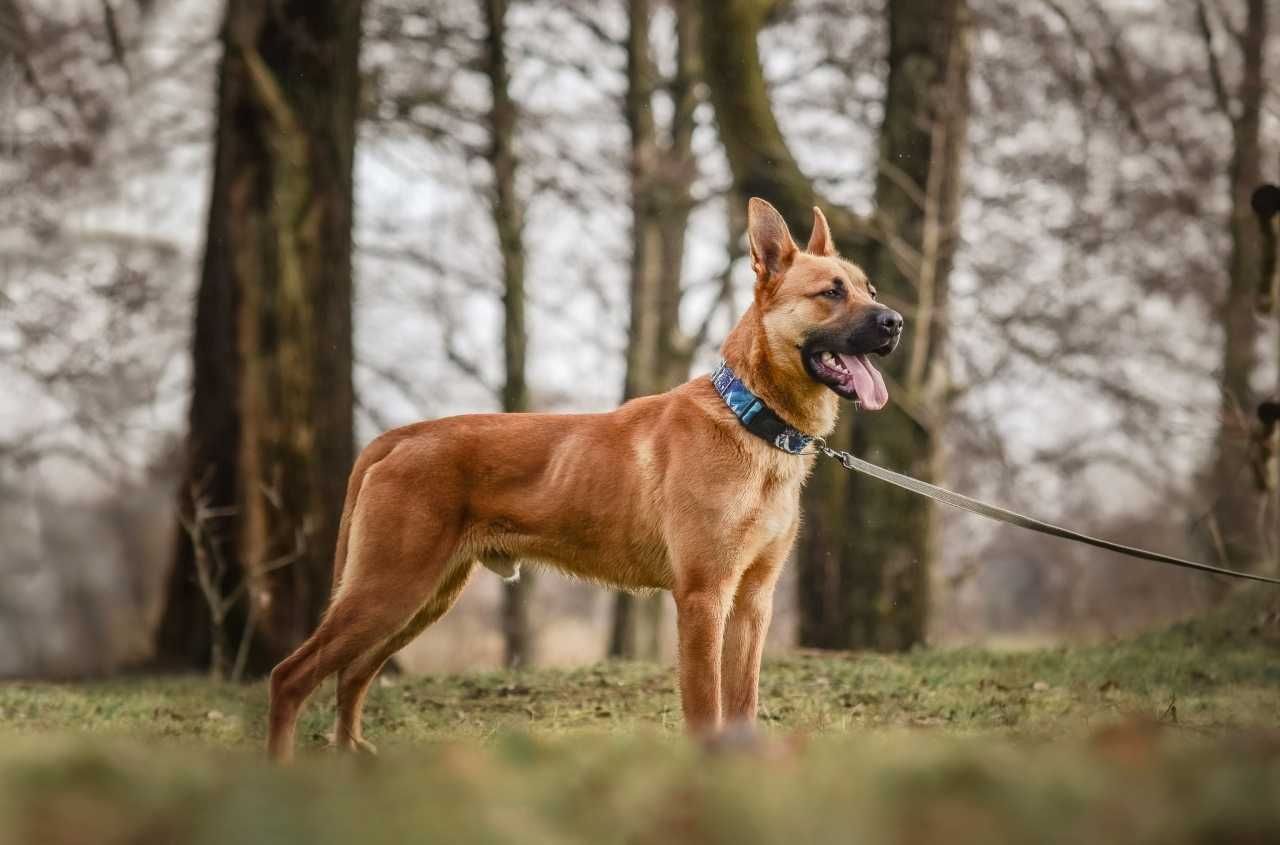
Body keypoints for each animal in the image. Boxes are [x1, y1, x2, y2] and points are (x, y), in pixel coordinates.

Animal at [263, 195, 901, 757]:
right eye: (831, 292)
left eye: (868, 289)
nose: (895, 321)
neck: (752, 418)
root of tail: (401, 436)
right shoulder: (704, 598)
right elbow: (706, 710)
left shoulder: (753, 601)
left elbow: (741, 704)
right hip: (389, 588)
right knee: (290, 676)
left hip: (422, 597)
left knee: (351, 677)